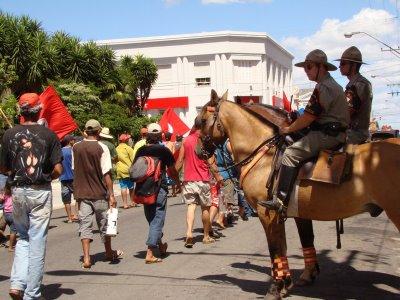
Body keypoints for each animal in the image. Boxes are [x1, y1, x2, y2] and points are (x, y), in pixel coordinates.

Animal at [198, 89, 400, 300]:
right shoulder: (291, 214)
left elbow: (275, 248)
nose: (198, 151)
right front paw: (289, 282)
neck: (265, 155)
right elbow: (293, 243)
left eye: (202, 120)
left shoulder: (267, 214)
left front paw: (275, 288)